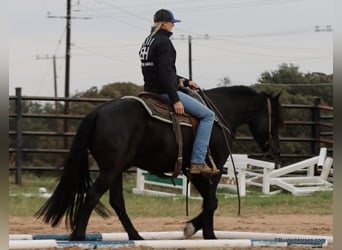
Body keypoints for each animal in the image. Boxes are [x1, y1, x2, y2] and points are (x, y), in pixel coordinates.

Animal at [34, 85, 284, 240]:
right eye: (278, 121)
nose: (276, 151)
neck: (218, 115)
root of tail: (97, 113)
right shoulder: (206, 170)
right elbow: (212, 202)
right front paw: (197, 230)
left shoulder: (197, 172)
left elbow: (209, 202)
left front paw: (208, 235)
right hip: (111, 169)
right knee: (92, 196)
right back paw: (79, 236)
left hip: (115, 169)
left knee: (116, 202)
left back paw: (135, 236)